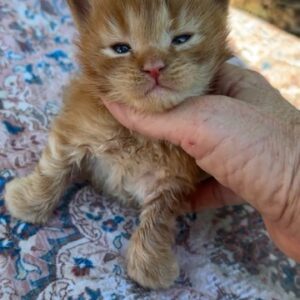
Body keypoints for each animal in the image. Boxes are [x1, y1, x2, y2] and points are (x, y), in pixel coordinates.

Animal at [4, 0, 230, 290]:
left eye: (181, 39)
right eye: (121, 48)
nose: (154, 67)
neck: (139, 134)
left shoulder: (174, 178)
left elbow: (159, 218)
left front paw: (150, 262)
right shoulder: (77, 127)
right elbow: (53, 167)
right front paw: (29, 202)